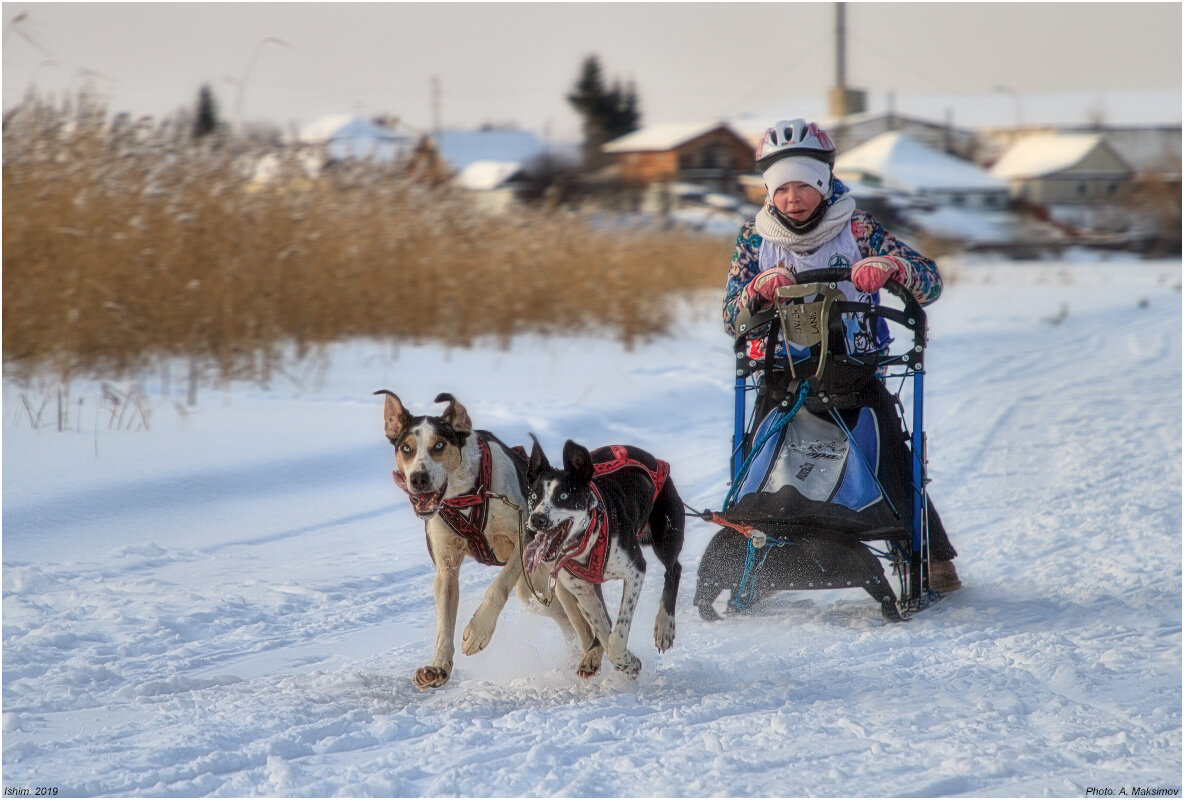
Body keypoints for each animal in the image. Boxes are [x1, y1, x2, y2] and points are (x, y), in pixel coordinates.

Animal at [374, 390, 592, 691]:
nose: (418, 478)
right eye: (406, 448)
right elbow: (444, 620)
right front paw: (439, 666)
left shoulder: (524, 540)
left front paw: (478, 631)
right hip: (533, 592)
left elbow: (497, 587)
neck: (467, 494)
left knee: (580, 622)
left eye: (439, 444)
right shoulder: (446, 566)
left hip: (552, 583)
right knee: (563, 620)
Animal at [520, 440, 681, 676]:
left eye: (563, 496)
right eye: (534, 496)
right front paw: (619, 659)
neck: (587, 538)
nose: (537, 518)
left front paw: (627, 661)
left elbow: (618, 631)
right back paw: (593, 655)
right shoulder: (581, 589)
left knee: (673, 570)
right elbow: (604, 628)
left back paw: (664, 626)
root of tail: (653, 459)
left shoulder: (635, 570)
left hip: (666, 537)